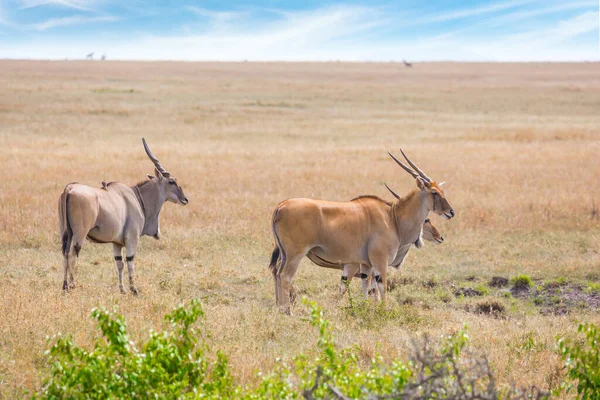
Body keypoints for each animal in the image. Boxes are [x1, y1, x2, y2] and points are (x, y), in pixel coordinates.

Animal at [268, 148, 454, 314]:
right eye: (434, 192)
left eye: (442, 191)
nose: (451, 212)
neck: (392, 217)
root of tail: (280, 206)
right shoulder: (378, 262)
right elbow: (381, 288)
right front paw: (384, 311)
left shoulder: (365, 266)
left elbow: (366, 289)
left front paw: (366, 310)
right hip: (295, 254)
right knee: (285, 276)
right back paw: (288, 311)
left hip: (285, 254)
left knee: (277, 273)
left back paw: (279, 309)